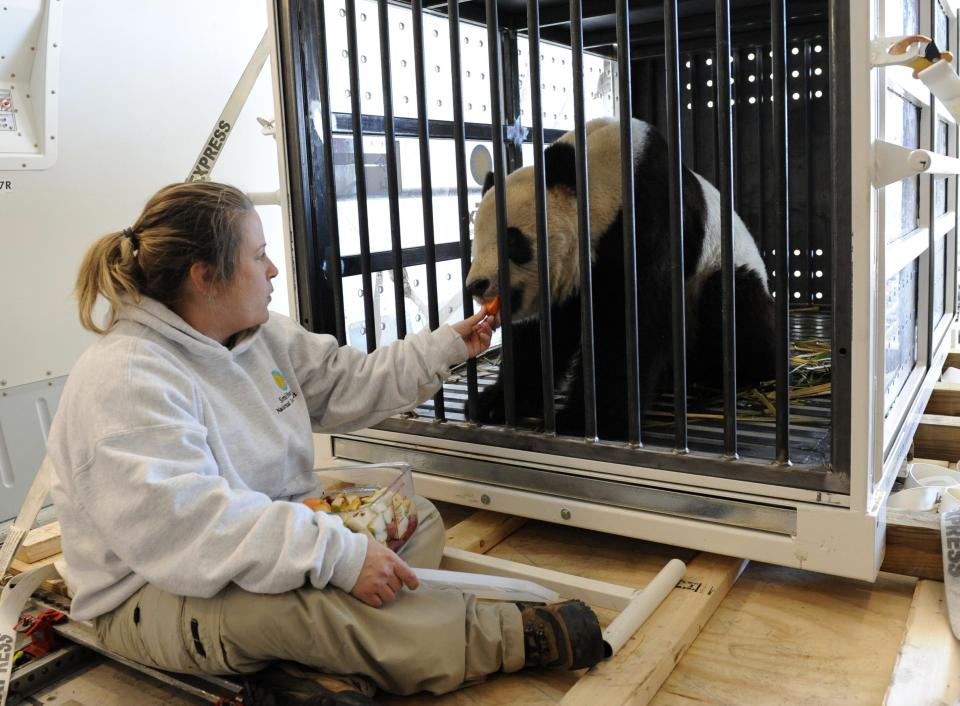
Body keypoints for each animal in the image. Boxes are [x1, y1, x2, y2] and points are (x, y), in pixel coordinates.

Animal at [466, 115, 780, 438]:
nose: (476, 285)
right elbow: (540, 335)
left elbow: (632, 324)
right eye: (475, 238)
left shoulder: (649, 218)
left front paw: (586, 420)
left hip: (719, 271)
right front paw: (495, 402)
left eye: (512, 240)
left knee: (734, 308)